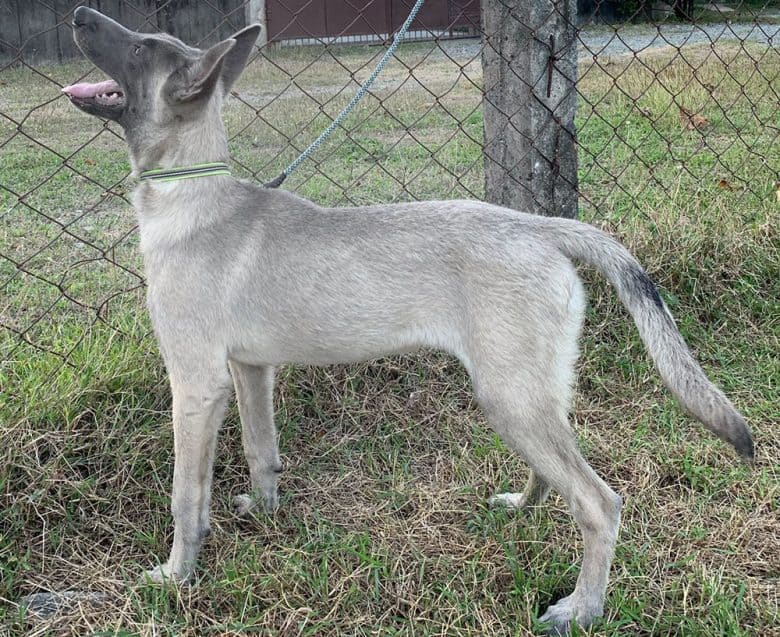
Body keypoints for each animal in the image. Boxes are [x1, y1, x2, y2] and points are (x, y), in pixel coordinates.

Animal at [64, 7, 752, 632]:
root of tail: (541, 228)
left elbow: (186, 496)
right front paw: (264, 513)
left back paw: (581, 608)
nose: (77, 14)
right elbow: (263, 452)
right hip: (532, 390)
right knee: (557, 468)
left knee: (599, 503)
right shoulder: (250, 370)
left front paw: (177, 575)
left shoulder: (196, 385)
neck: (190, 192)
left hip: (509, 395)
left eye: (141, 47)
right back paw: (522, 505)